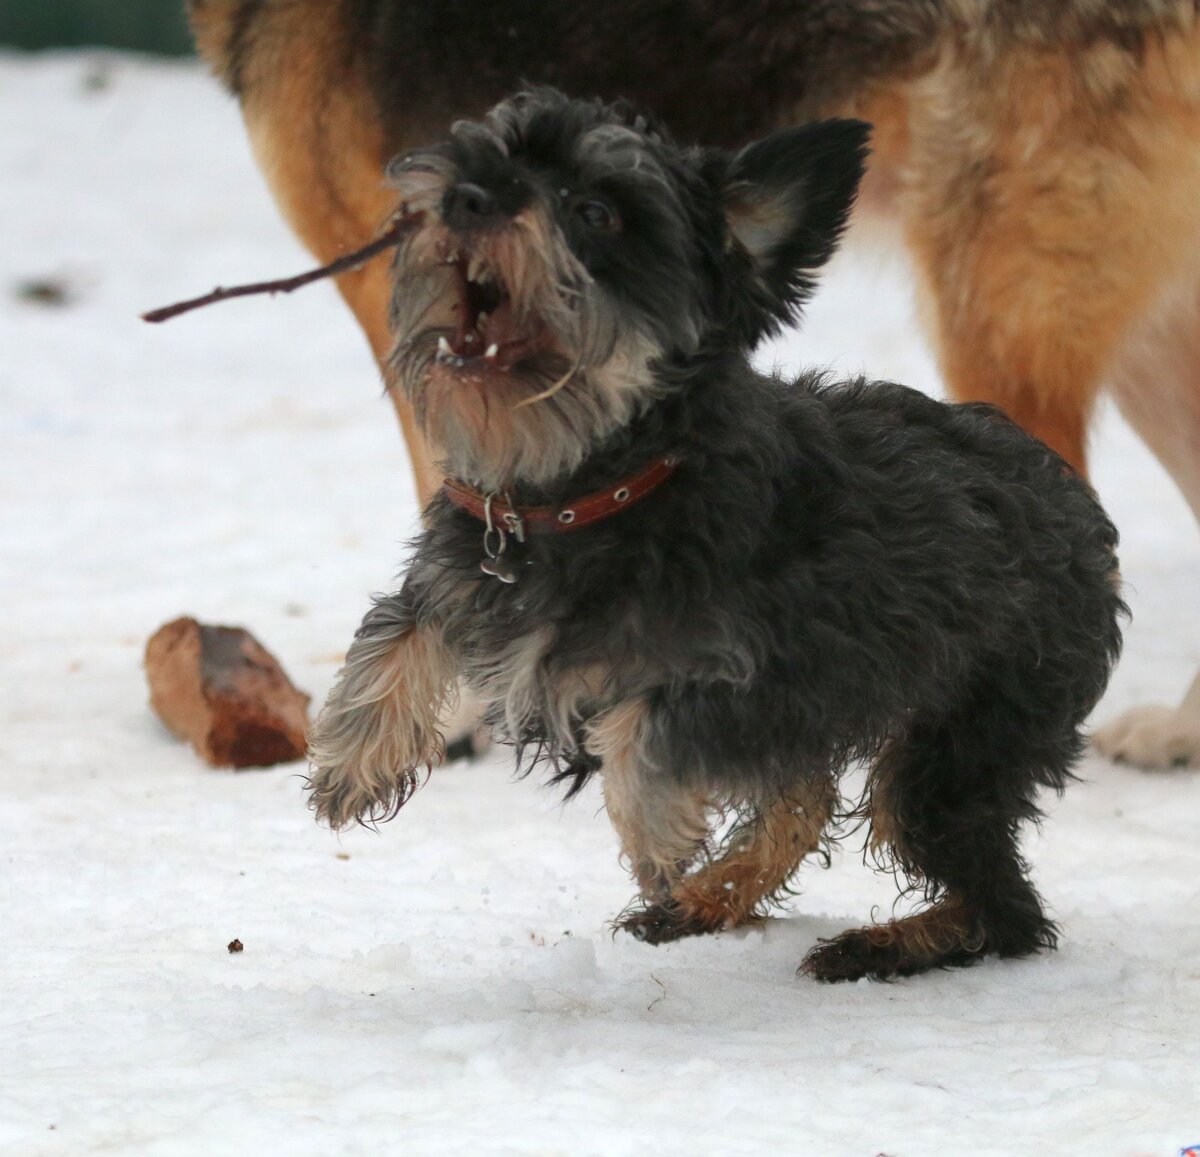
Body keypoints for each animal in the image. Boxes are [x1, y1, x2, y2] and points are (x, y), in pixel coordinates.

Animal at [302, 88, 1123, 974]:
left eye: (596, 212)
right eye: (483, 154)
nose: (469, 198)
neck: (594, 486)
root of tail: (1079, 507)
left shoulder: (769, 676)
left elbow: (646, 728)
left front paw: (656, 832)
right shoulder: (468, 567)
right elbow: (398, 630)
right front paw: (351, 758)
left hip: (961, 741)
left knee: (1004, 907)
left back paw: (882, 945)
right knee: (808, 803)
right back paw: (707, 899)